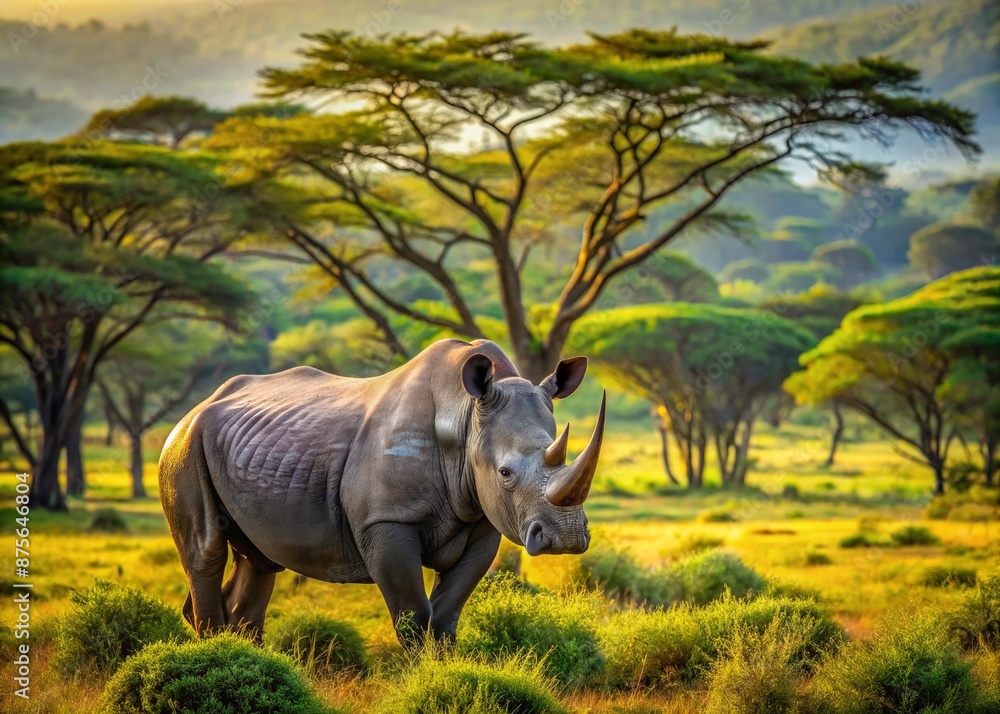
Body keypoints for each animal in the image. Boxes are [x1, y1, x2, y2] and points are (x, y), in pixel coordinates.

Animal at [158, 338, 606, 644]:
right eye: (505, 472)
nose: (566, 538)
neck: (464, 416)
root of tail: (198, 406)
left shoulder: (484, 521)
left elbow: (445, 617)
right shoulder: (387, 520)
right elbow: (413, 616)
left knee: (260, 560)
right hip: (183, 446)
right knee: (206, 549)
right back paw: (217, 652)